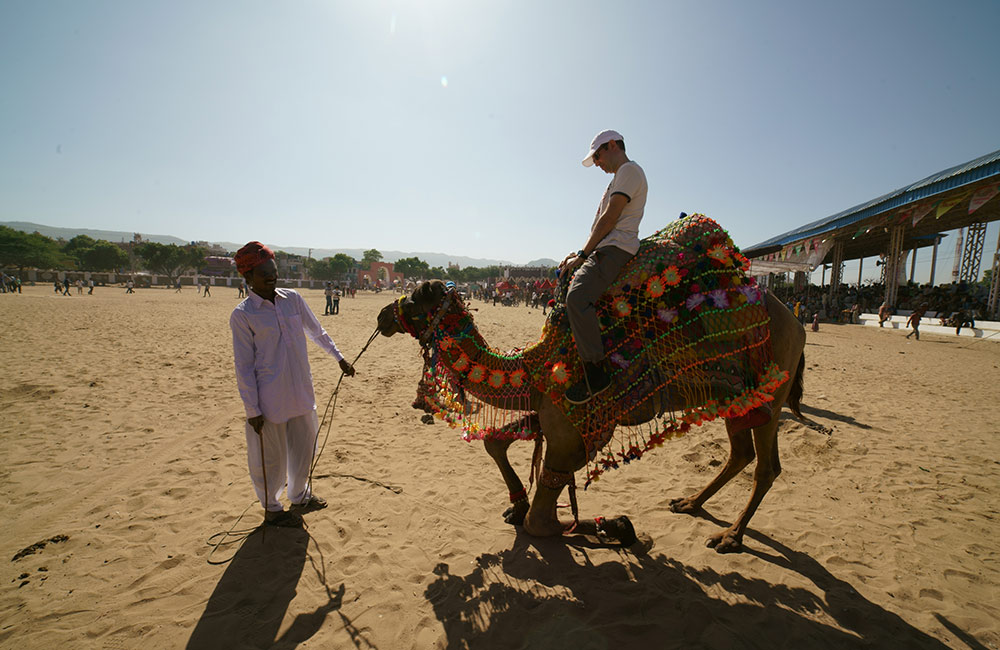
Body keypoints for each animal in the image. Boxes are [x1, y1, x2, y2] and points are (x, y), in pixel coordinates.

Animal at [376, 215, 804, 548]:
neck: (535, 363)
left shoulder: (577, 432)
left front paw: (619, 526)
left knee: (766, 465)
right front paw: (516, 502)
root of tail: (794, 320)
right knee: (741, 454)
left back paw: (730, 536)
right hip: (741, 396)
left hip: (771, 383)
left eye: (416, 295)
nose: (382, 315)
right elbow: (496, 443)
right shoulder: (552, 411)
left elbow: (540, 522)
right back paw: (690, 504)